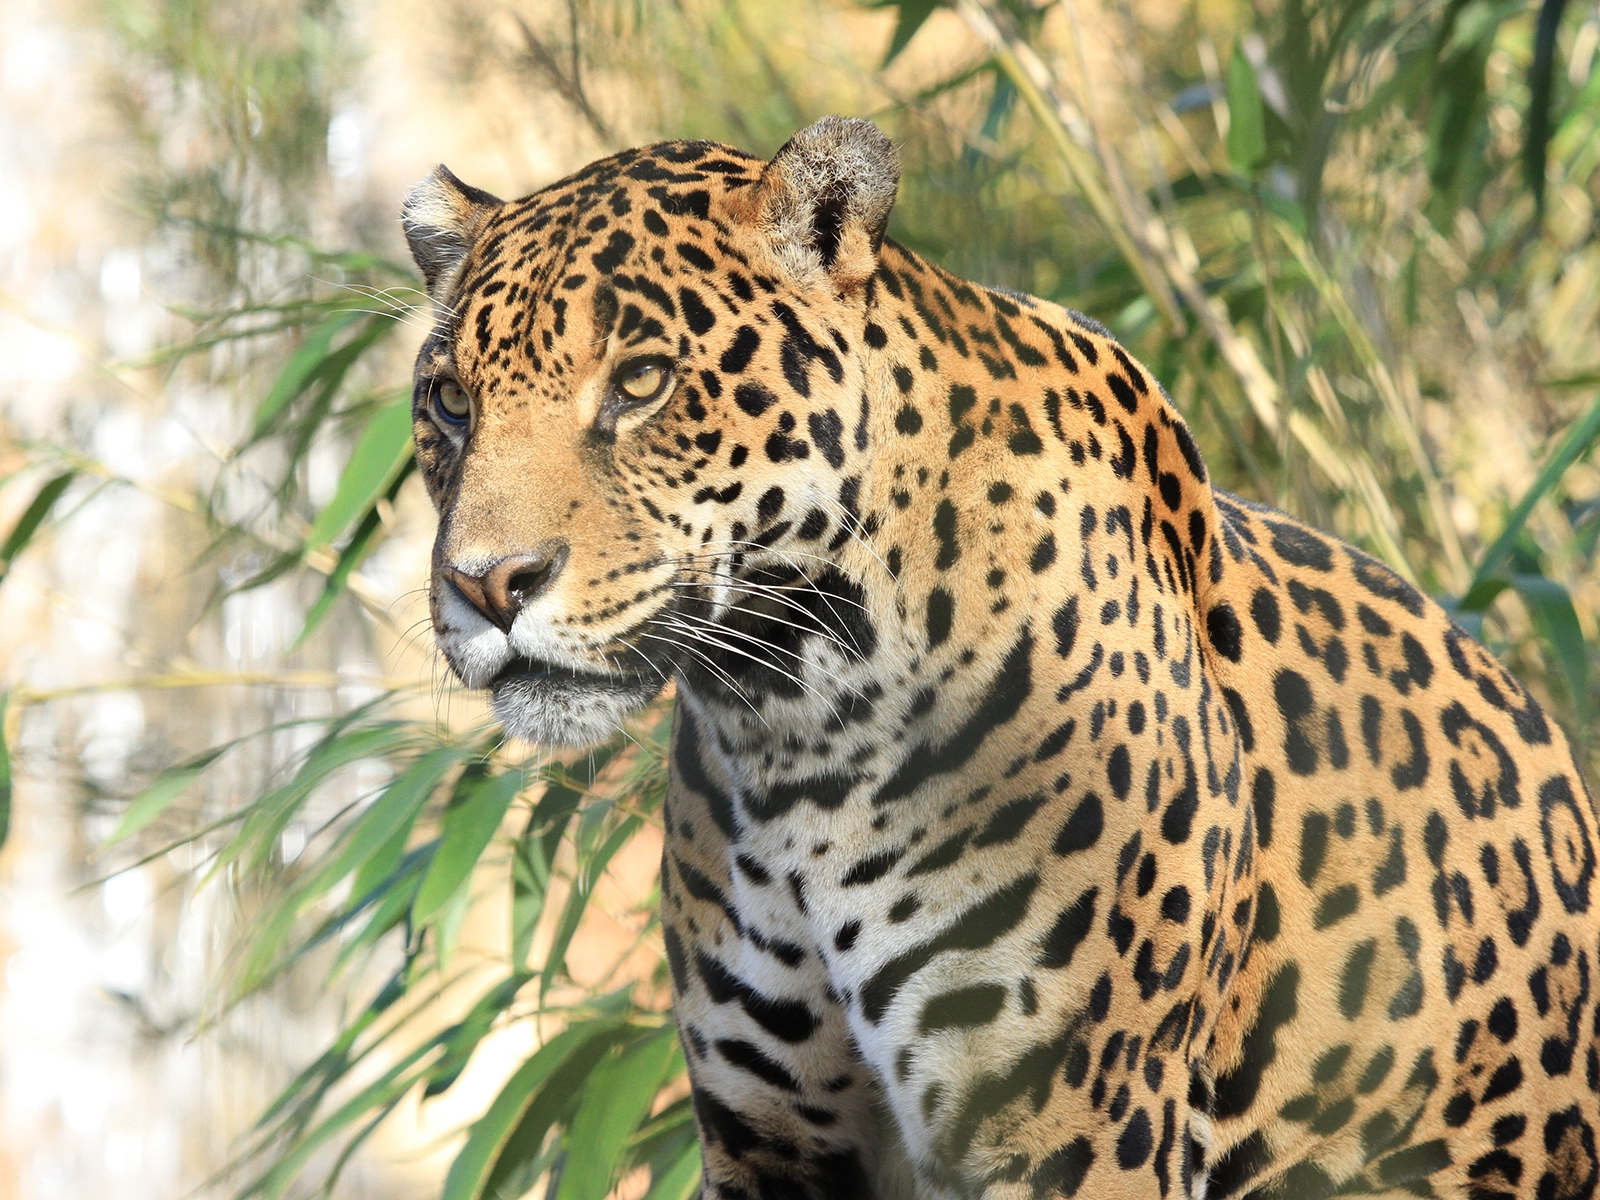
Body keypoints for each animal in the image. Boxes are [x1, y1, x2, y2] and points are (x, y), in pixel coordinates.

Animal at [402, 116, 1600, 1199]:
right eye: (451, 402)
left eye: (643, 382)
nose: (487, 583)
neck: (792, 719)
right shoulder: (771, 1140)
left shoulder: (1084, 1122)